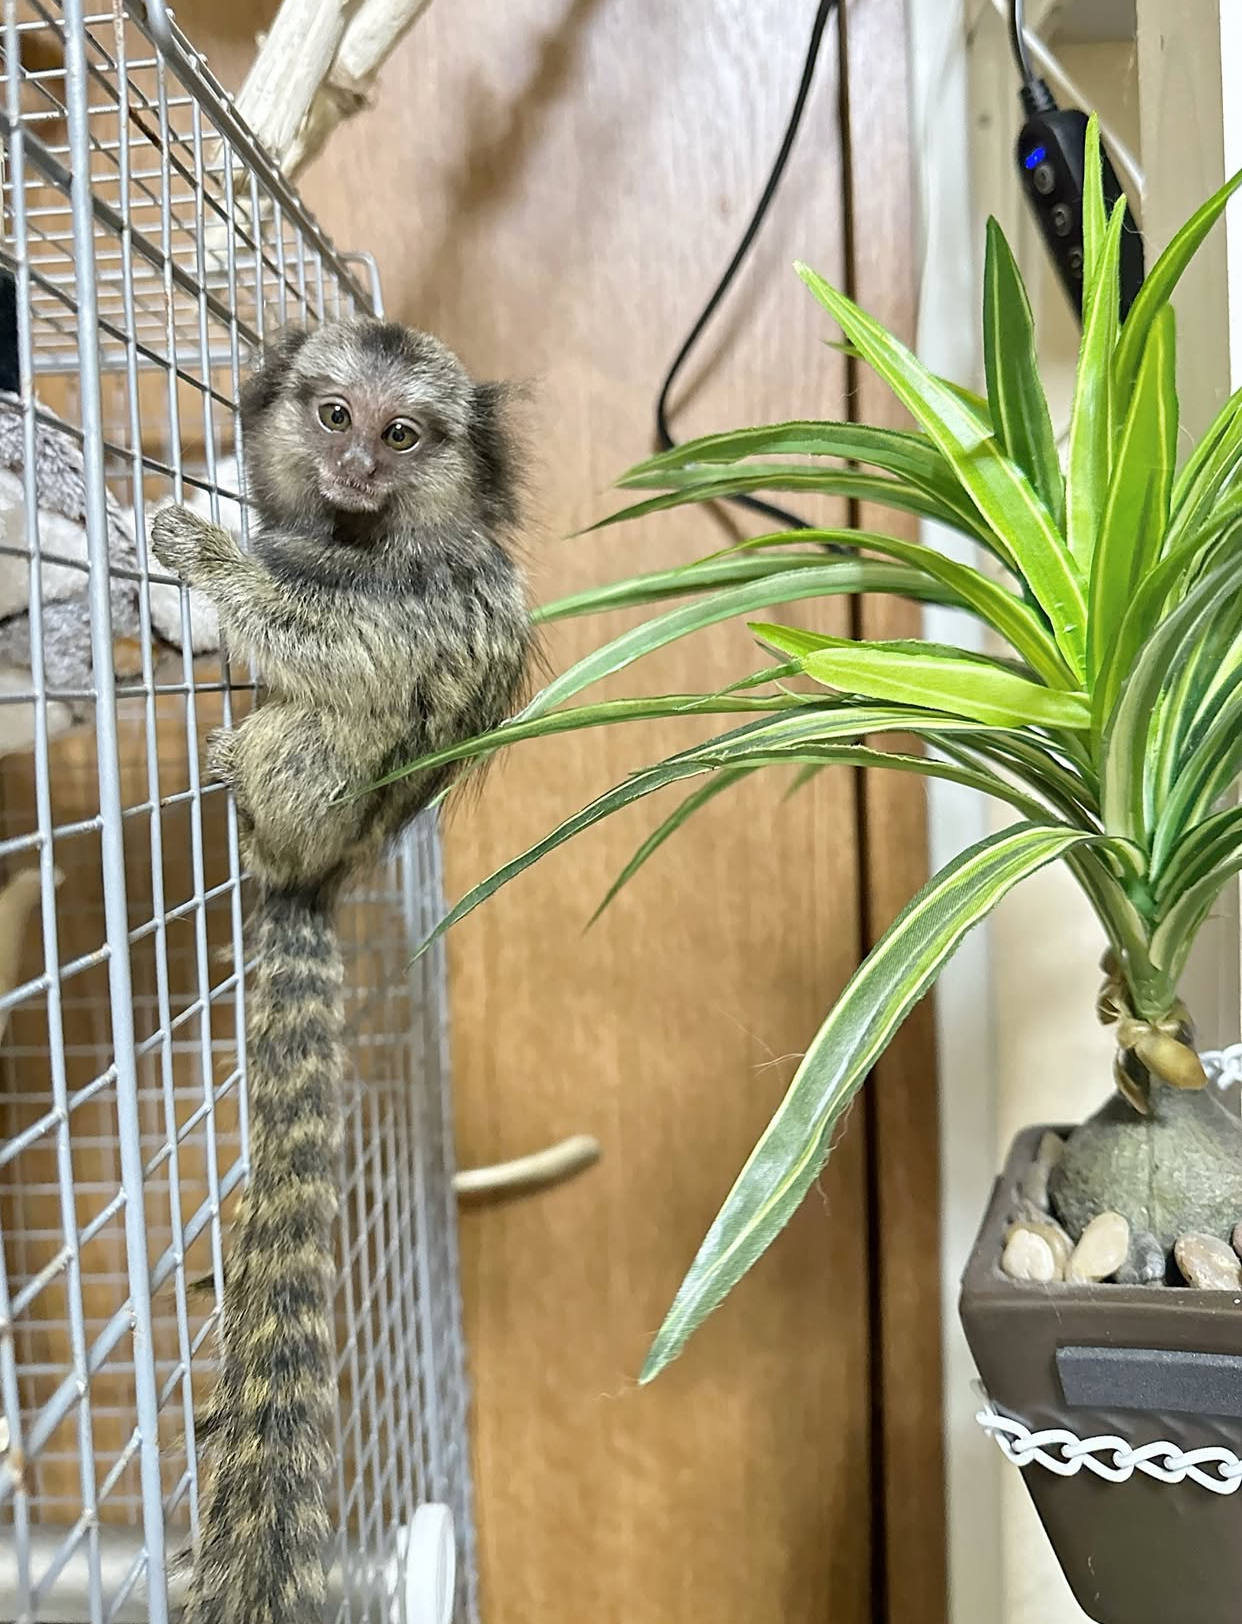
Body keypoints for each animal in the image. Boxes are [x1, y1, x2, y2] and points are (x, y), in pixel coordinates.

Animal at [150, 319, 533, 1624]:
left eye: (402, 433)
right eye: (332, 415)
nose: (358, 463)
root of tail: (320, 871)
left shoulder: (424, 596)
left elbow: (348, 648)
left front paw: (206, 557)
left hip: (316, 800)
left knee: (318, 732)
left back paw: (246, 789)